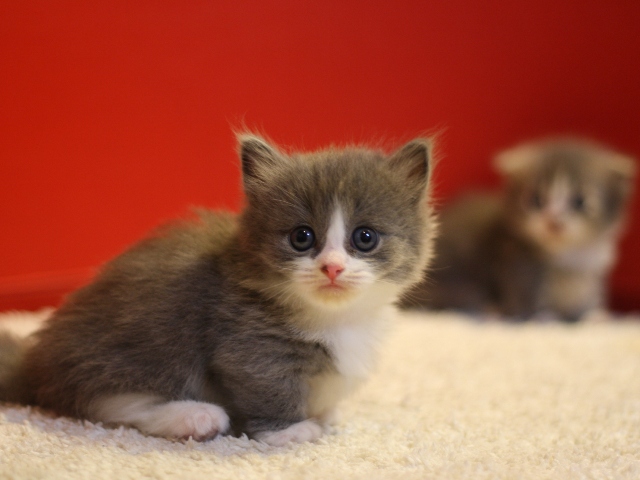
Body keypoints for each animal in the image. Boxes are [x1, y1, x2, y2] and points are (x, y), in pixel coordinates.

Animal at [0, 132, 438, 446]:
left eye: (365, 237)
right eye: (302, 237)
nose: (332, 267)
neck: (336, 316)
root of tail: (35, 360)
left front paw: (323, 411)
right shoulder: (249, 344)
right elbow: (270, 387)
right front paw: (290, 430)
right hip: (147, 339)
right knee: (100, 400)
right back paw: (193, 416)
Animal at [400, 137, 636, 320]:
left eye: (579, 201)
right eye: (535, 200)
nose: (553, 222)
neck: (567, 258)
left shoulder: (594, 269)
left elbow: (589, 295)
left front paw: (595, 315)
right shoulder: (517, 263)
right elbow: (525, 296)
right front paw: (542, 317)